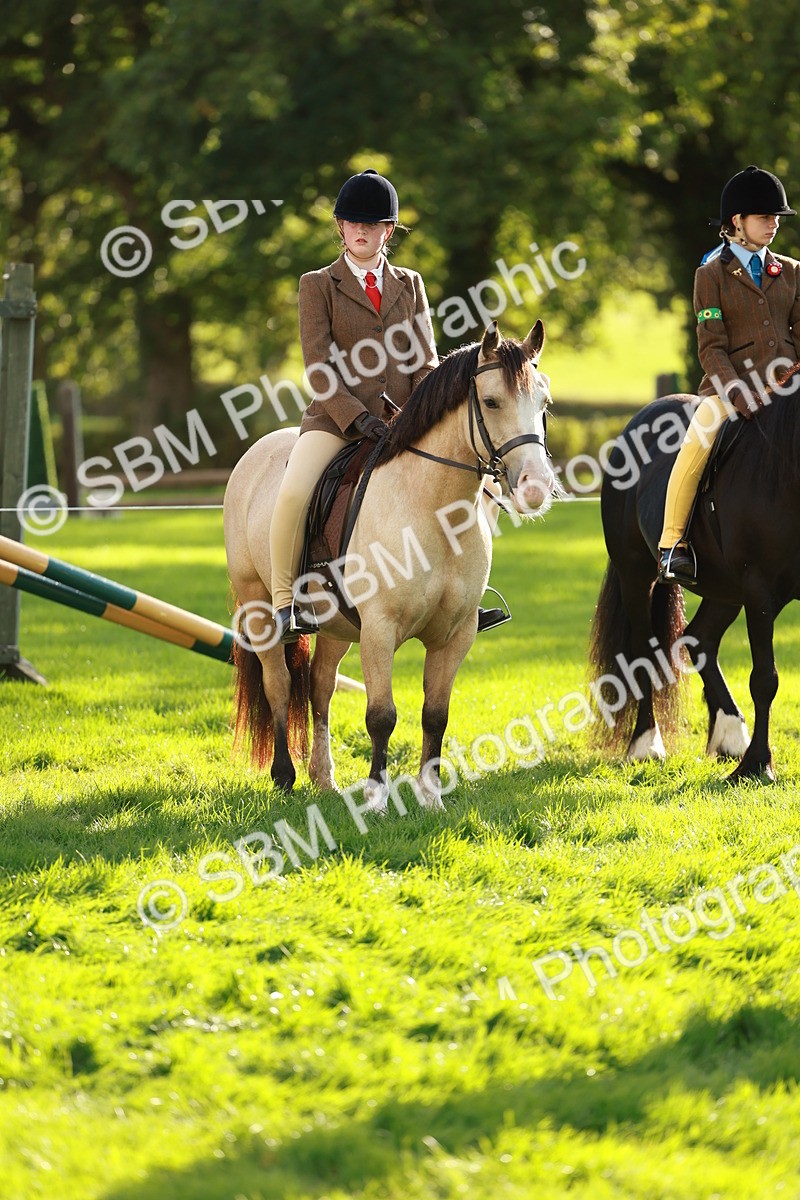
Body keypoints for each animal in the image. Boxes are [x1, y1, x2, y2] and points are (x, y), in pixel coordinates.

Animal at [223, 320, 556, 811]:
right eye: (493, 401)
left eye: (544, 403)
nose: (536, 487)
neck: (432, 509)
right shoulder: (379, 629)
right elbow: (381, 715)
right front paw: (377, 800)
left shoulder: (455, 635)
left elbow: (435, 714)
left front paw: (431, 798)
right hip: (259, 607)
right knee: (279, 683)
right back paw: (284, 776)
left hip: (338, 625)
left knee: (320, 688)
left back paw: (324, 779)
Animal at [589, 385, 800, 781]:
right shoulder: (759, 591)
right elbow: (765, 679)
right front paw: (757, 764)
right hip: (636, 575)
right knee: (644, 651)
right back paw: (646, 744)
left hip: (725, 590)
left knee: (699, 638)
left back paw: (731, 734)